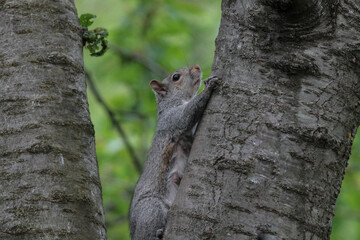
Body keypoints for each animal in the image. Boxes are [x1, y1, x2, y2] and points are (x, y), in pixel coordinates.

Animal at [129, 64, 219, 240]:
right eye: (176, 77)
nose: (197, 67)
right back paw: (157, 233)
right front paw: (208, 87)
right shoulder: (171, 119)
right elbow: (186, 114)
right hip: (152, 209)